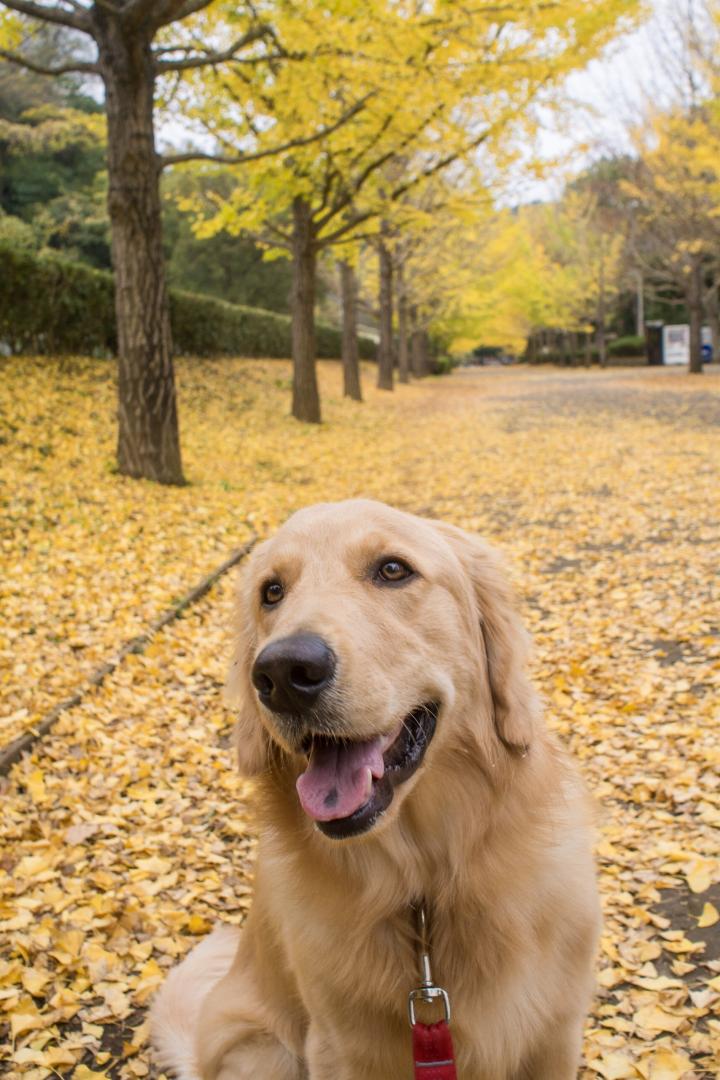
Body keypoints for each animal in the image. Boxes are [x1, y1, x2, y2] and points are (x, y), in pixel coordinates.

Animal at [148, 498, 600, 1080]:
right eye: (272, 591)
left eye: (392, 569)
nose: (282, 672)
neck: (424, 892)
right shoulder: (339, 1048)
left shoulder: (556, 1034)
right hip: (261, 1050)